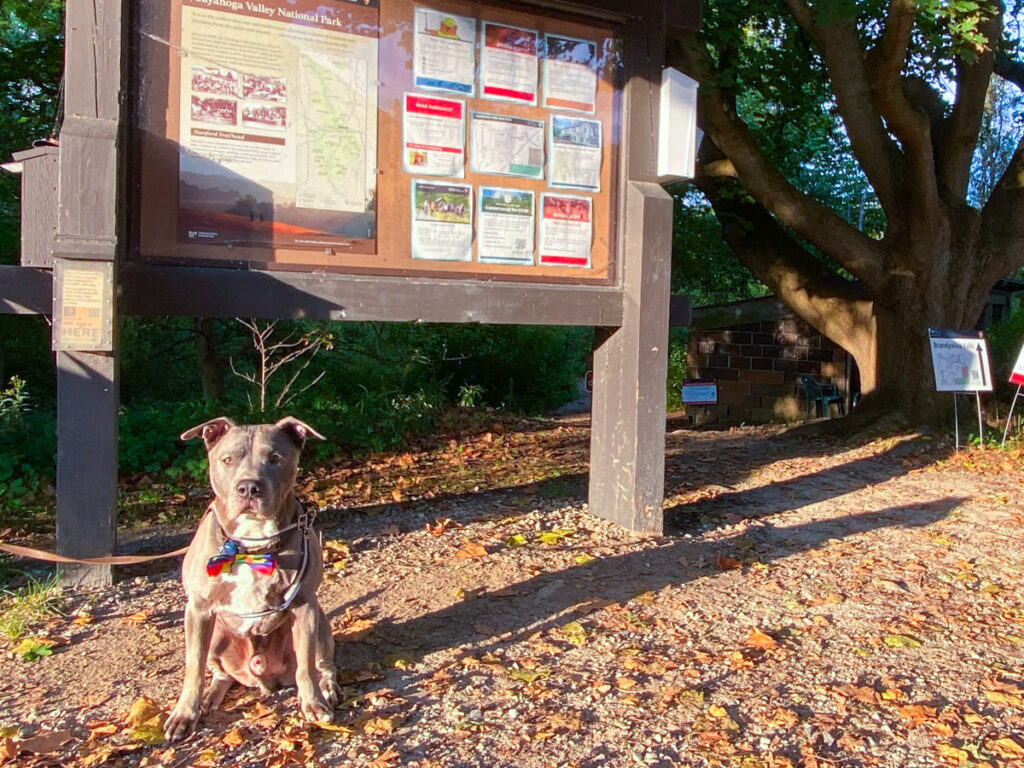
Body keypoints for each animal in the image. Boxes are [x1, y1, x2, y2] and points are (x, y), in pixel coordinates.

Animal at [164, 417, 339, 741]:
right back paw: (211, 695)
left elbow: (306, 666)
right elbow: (193, 667)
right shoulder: (197, 610)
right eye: (228, 459)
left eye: (276, 459)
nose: (248, 487)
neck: (251, 545)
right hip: (217, 635)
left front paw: (313, 703)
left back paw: (327, 689)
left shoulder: (305, 606)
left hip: (321, 624)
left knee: (322, 664)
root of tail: (261, 675)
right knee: (220, 673)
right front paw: (184, 714)